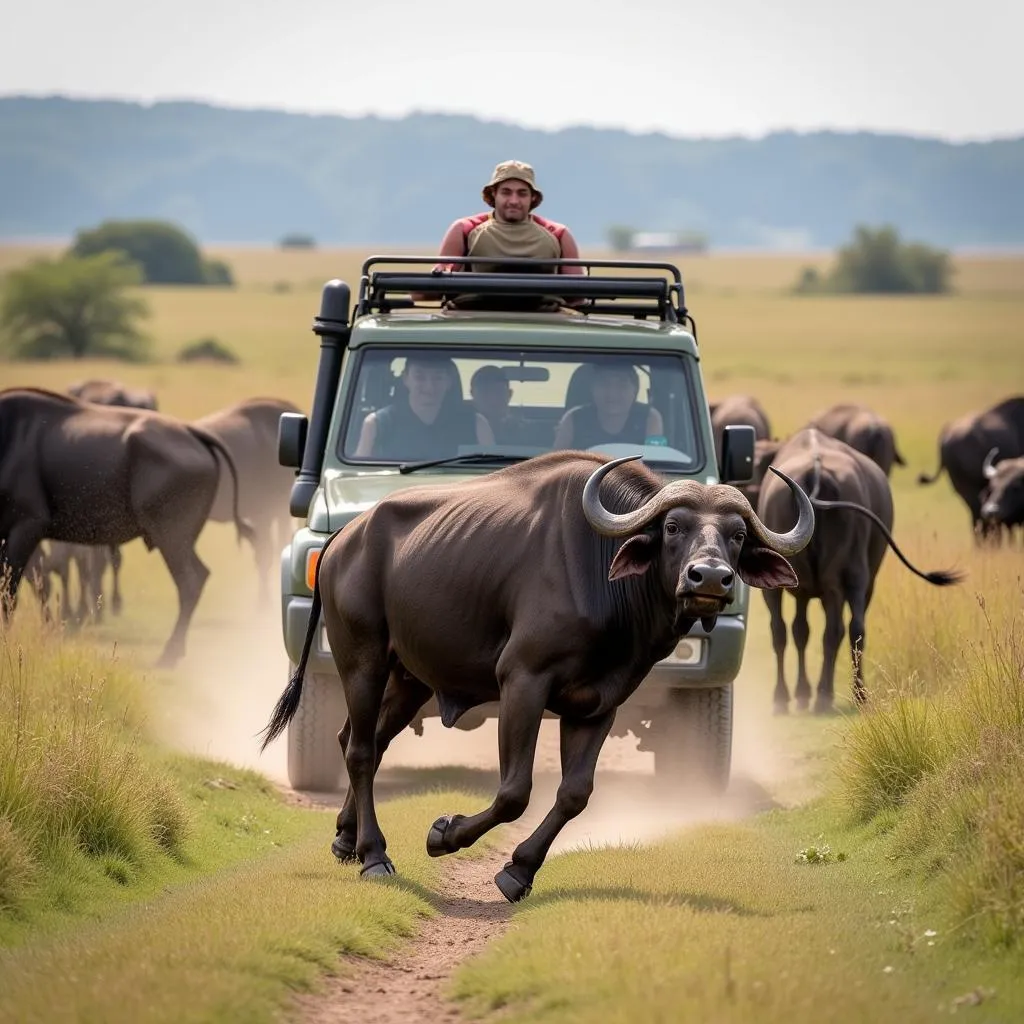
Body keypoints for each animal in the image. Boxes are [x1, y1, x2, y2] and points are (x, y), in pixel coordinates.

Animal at [0, 387, 253, 667]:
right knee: (198, 576)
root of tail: (192, 433)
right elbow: (33, 583)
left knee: (190, 581)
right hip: (183, 539)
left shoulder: (27, 527)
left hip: (170, 536)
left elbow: (11, 591)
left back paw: (169, 653)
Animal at [258, 452, 815, 901]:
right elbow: (514, 791)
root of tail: (341, 540)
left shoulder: (598, 703)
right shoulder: (523, 681)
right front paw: (444, 834)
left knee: (362, 739)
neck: (603, 580)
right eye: (673, 527)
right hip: (361, 659)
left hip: (408, 680)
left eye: (738, 535)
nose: (711, 579)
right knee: (359, 749)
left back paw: (345, 838)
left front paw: (519, 871)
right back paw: (374, 855)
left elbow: (574, 794)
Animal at [757, 428, 962, 716]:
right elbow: (800, 631)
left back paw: (821, 696)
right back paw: (850, 693)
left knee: (824, 630)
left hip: (839, 580)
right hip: (854, 578)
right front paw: (801, 693)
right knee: (851, 628)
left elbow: (795, 632)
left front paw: (796, 695)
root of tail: (816, 474)